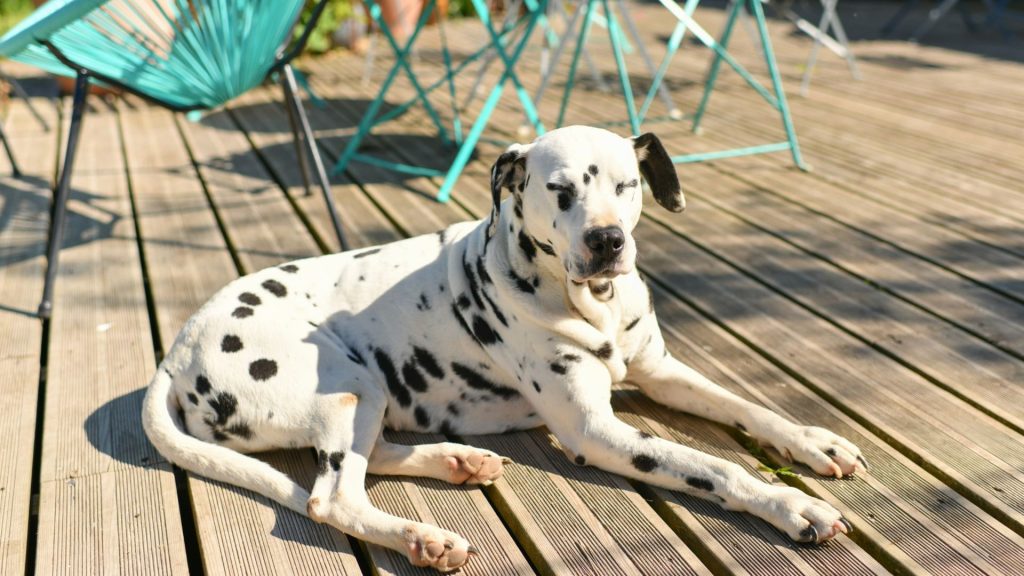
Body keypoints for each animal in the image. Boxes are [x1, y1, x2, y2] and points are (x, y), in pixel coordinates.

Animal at [144, 125, 864, 569]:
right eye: (561, 191)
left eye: (627, 185)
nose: (608, 241)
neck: (593, 303)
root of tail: (174, 355)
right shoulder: (596, 430)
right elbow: (713, 466)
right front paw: (790, 505)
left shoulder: (660, 371)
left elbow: (750, 408)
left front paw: (813, 441)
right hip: (348, 379)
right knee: (334, 496)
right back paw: (421, 537)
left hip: (364, 394)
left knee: (370, 456)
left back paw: (457, 461)